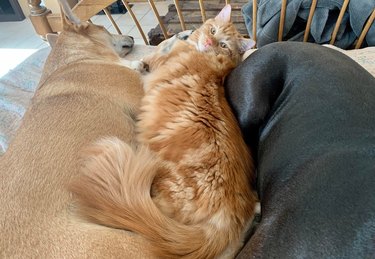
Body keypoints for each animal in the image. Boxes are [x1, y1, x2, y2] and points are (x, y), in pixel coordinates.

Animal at [70, 4, 258, 259]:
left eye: (223, 44)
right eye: (213, 30)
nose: (209, 42)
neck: (209, 58)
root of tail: (228, 218)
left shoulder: (157, 61)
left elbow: (151, 55)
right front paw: (181, 34)